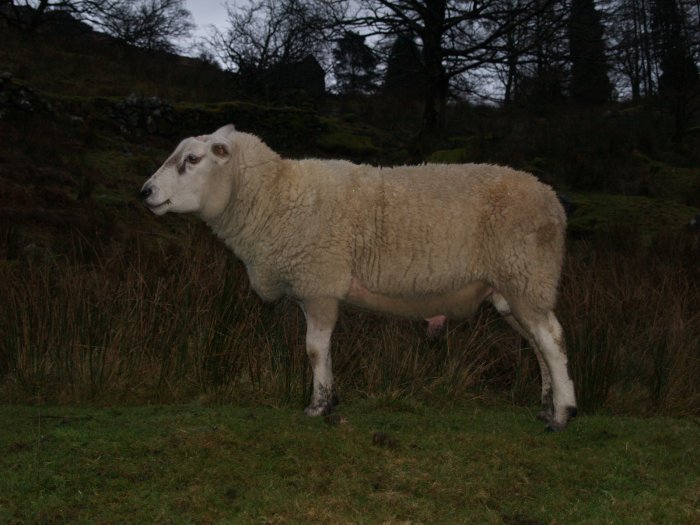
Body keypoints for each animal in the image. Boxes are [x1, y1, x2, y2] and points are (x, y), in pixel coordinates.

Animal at [140, 124, 577, 431]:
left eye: (193, 159)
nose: (145, 192)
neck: (274, 196)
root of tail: (553, 201)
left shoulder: (318, 283)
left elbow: (314, 350)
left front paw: (316, 407)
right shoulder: (317, 288)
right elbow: (323, 350)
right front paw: (329, 400)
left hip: (526, 275)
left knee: (552, 339)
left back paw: (563, 412)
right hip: (511, 290)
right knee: (537, 345)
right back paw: (546, 406)